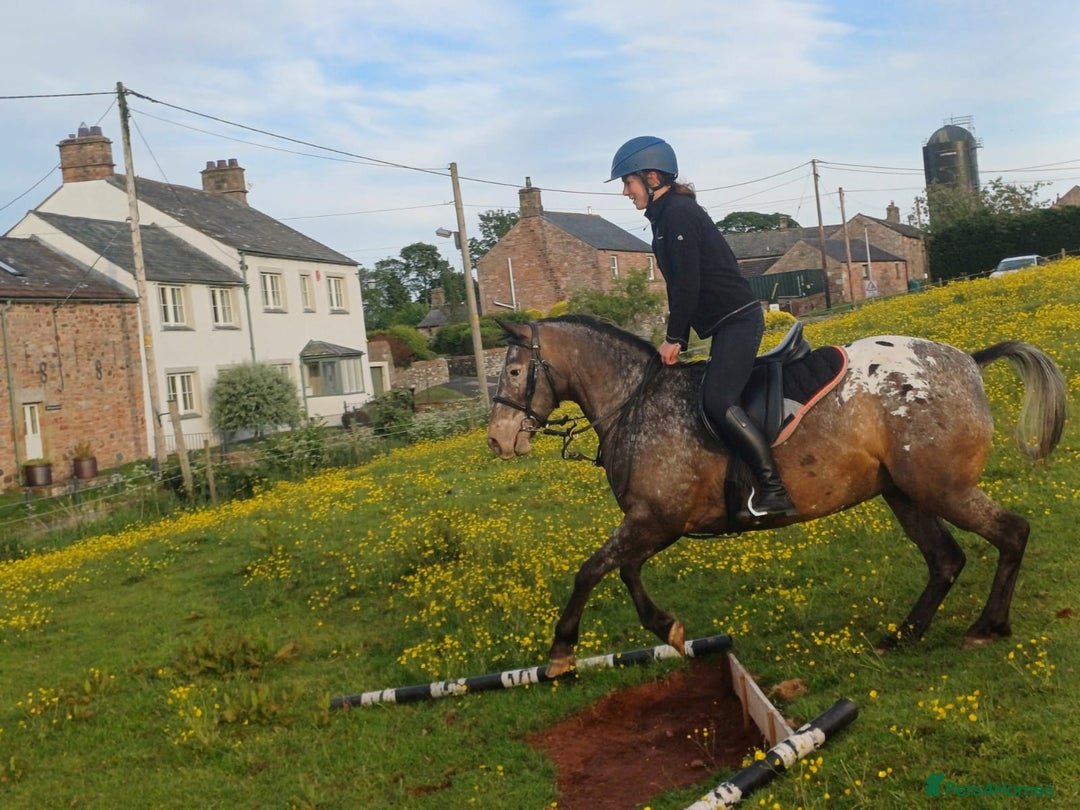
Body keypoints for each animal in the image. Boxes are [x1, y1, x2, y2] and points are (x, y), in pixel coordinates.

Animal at [486, 315, 1066, 677]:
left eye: (514, 371)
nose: (497, 440)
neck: (638, 403)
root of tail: (967, 361)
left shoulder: (658, 520)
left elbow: (591, 570)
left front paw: (561, 651)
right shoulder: (654, 523)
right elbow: (624, 570)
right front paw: (668, 630)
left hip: (942, 487)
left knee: (1011, 533)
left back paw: (987, 627)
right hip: (904, 493)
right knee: (945, 559)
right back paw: (903, 635)